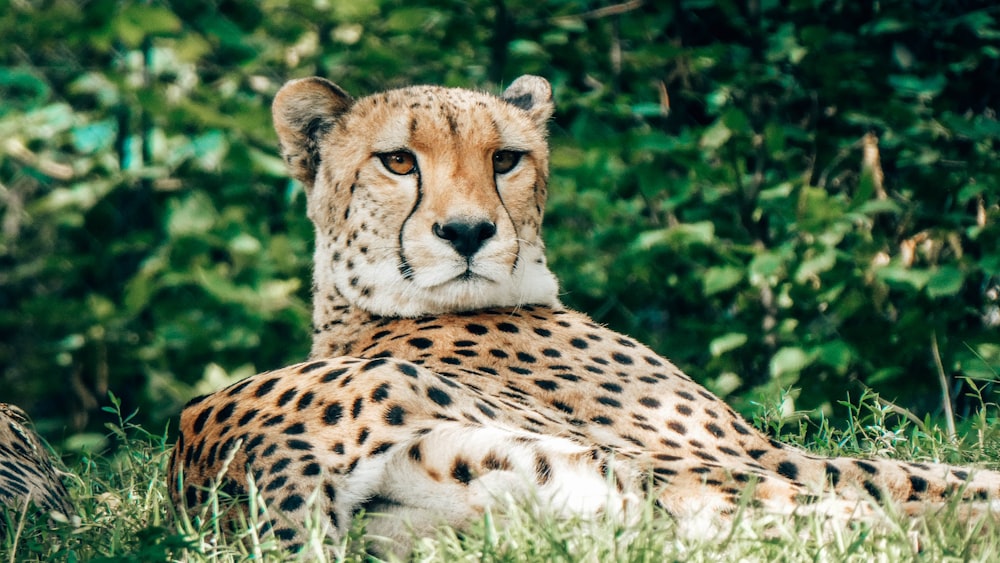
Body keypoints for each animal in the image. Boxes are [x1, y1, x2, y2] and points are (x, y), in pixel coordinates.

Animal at [170, 74, 1000, 556]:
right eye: (397, 161)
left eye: (505, 158)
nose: (467, 233)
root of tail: (215, 456)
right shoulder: (755, 451)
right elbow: (938, 472)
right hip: (665, 470)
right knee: (888, 520)